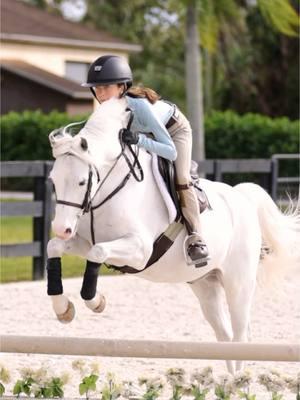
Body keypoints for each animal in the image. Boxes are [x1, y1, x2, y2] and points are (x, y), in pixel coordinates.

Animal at [47, 98, 300, 374]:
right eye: (53, 181)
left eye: (82, 182)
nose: (61, 228)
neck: (111, 187)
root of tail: (242, 197)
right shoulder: (83, 241)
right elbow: (54, 247)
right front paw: (63, 309)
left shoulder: (140, 250)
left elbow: (98, 251)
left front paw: (96, 301)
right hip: (206, 285)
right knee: (226, 336)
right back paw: (231, 379)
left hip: (239, 283)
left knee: (240, 336)